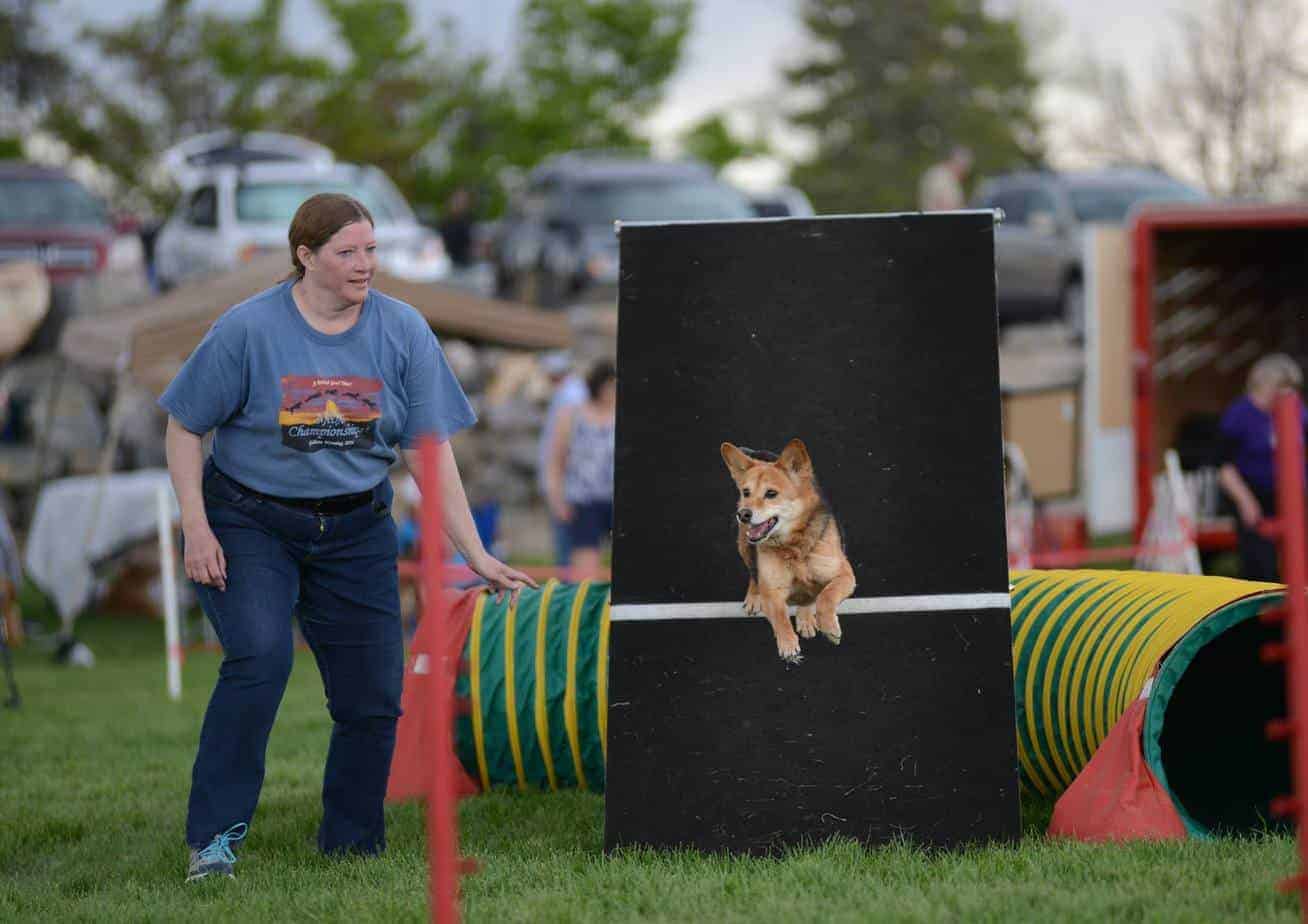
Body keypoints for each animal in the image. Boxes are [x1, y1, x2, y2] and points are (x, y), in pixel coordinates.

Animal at [722, 434, 852, 659]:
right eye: (746, 492)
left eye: (771, 493)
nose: (743, 514)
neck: (793, 545)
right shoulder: (771, 591)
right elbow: (779, 616)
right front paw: (788, 643)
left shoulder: (845, 575)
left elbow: (826, 596)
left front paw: (829, 626)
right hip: (744, 548)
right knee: (753, 572)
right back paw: (753, 597)